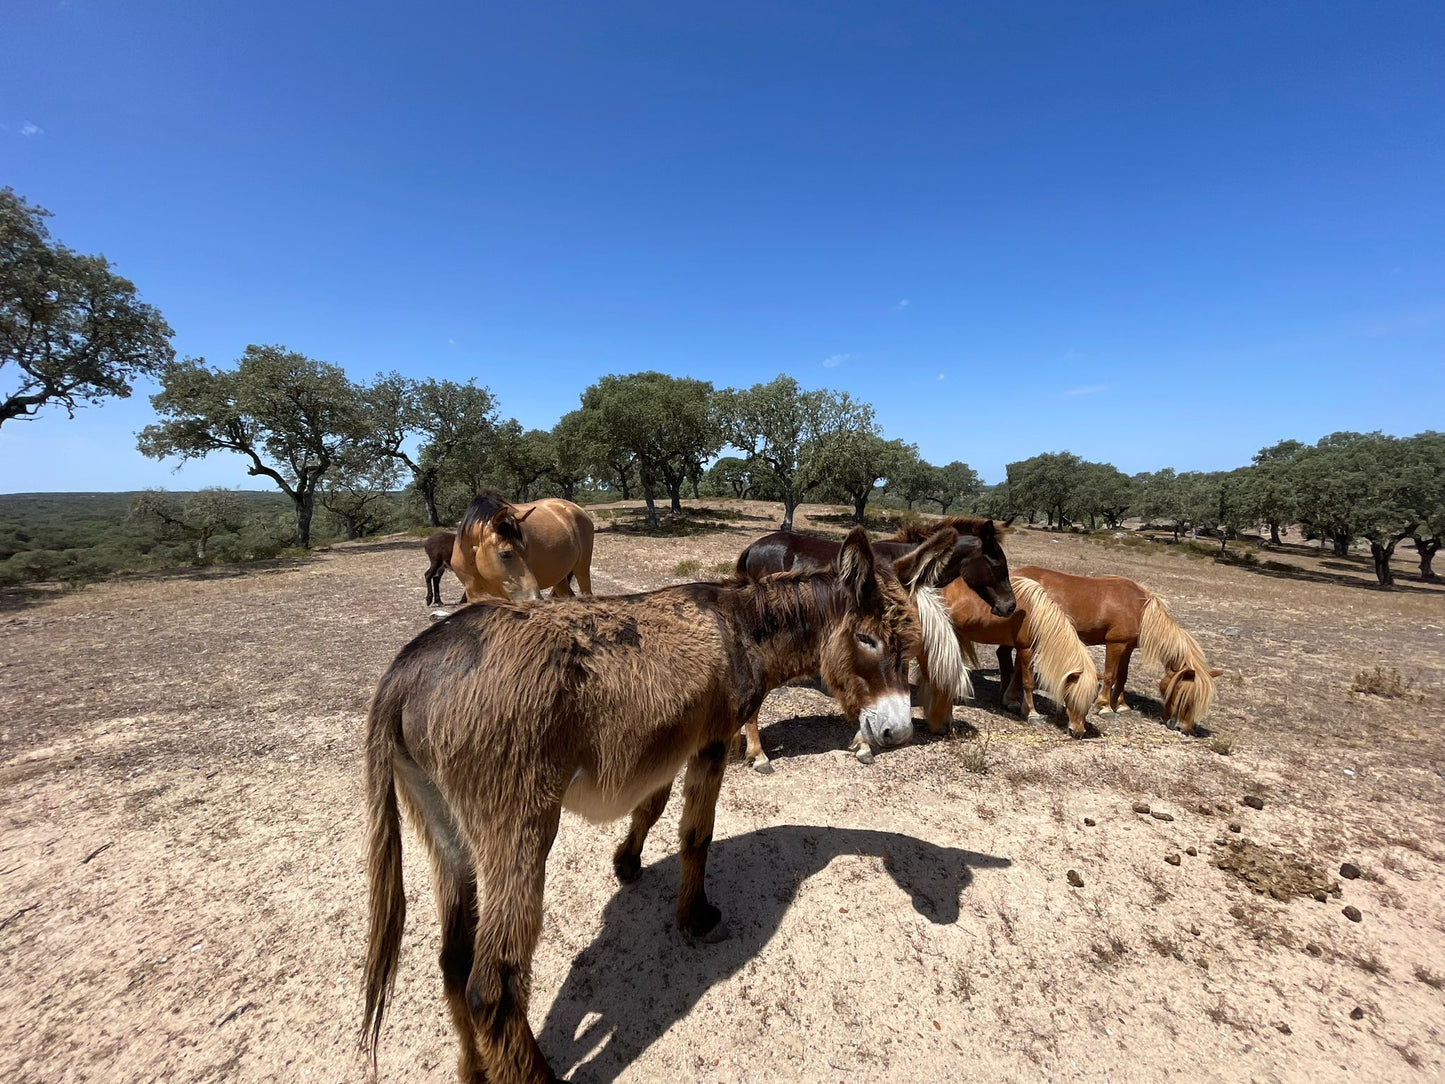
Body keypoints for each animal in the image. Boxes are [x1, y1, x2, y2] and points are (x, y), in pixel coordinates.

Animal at [361, 528, 959, 1084]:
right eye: (867, 639)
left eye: (911, 644)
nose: (899, 734)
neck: (741, 628)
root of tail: (406, 670)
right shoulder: (711, 742)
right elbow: (697, 835)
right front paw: (694, 916)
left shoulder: (669, 745)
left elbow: (651, 808)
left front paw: (627, 864)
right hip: (519, 825)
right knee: (492, 987)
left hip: (446, 832)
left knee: (453, 961)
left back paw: (474, 1068)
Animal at [445, 491, 592, 604]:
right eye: (505, 554)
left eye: (526, 549)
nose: (534, 599)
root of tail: (576, 508)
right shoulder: (475, 596)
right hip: (559, 577)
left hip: (582, 568)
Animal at [919, 578, 1098, 740]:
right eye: (1072, 697)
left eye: (1090, 702)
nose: (1078, 732)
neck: (1035, 615)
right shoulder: (1026, 649)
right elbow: (1028, 682)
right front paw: (1032, 714)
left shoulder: (1022, 649)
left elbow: (1017, 674)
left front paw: (1011, 701)